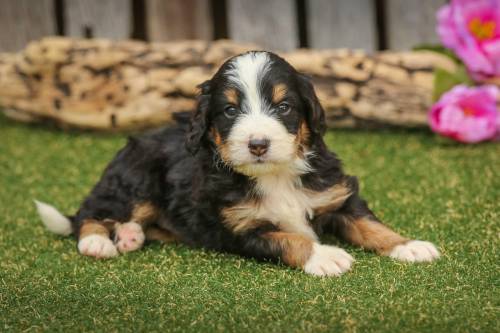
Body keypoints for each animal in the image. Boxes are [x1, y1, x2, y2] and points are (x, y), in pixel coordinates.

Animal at [37, 51, 440, 274]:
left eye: (283, 106)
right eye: (230, 110)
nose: (258, 144)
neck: (275, 175)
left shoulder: (337, 194)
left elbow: (370, 225)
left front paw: (408, 245)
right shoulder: (241, 228)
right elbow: (288, 239)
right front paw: (325, 256)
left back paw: (129, 235)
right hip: (136, 180)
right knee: (91, 212)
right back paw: (98, 242)